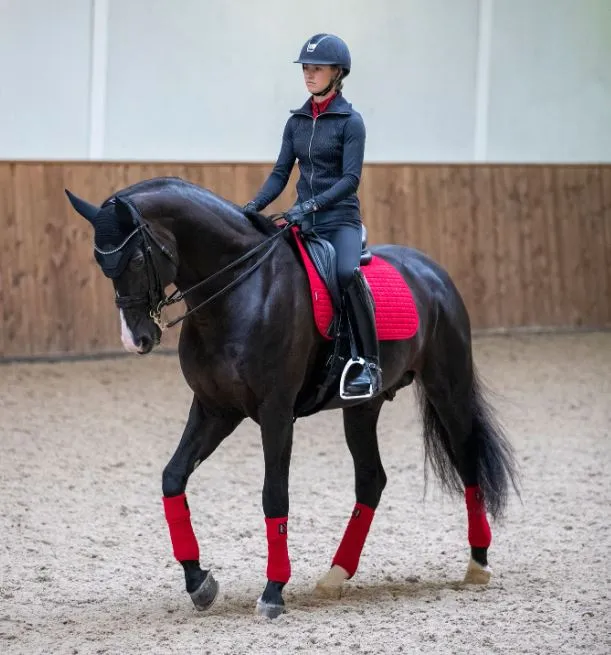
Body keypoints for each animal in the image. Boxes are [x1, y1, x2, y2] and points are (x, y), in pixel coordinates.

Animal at [64, 177, 520, 616]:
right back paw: (335, 575)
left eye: (138, 260)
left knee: (468, 464)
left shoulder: (276, 412)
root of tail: (431, 271)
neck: (239, 291)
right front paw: (199, 582)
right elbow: (173, 477)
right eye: (102, 264)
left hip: (448, 387)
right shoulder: (215, 409)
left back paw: (478, 563)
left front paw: (272, 592)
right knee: (371, 479)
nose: (136, 339)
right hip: (362, 407)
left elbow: (274, 495)